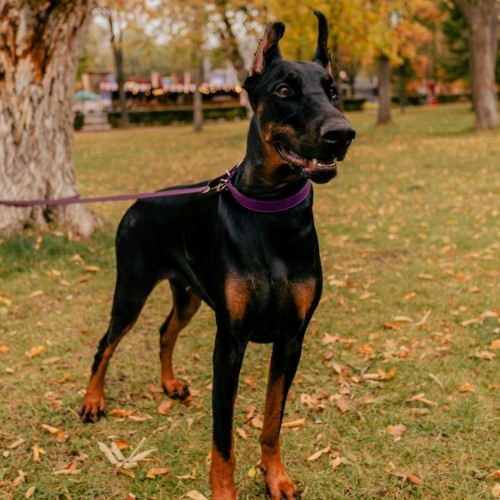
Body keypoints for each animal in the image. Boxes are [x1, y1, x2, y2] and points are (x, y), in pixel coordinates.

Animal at [81, 9, 356, 498]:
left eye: (333, 90)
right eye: (283, 90)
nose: (342, 133)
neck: (271, 213)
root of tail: (139, 201)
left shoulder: (292, 339)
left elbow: (272, 421)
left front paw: (275, 476)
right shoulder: (229, 341)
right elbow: (222, 437)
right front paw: (225, 490)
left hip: (189, 294)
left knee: (164, 331)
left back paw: (169, 384)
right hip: (131, 288)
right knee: (106, 343)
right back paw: (93, 400)